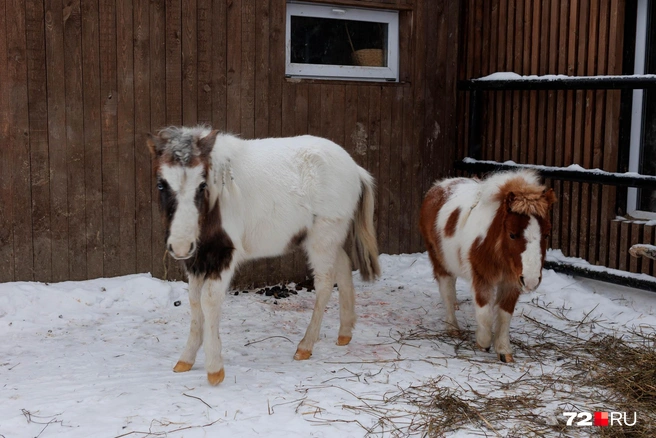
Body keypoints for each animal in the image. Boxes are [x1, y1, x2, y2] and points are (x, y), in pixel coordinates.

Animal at [145, 126, 380, 384]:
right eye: (161, 184)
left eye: (202, 184)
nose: (180, 246)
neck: (216, 202)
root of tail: (355, 169)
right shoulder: (198, 259)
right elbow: (195, 303)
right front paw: (186, 360)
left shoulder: (224, 255)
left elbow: (209, 301)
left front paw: (215, 369)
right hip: (327, 239)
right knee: (344, 266)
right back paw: (345, 333)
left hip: (322, 239)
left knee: (325, 284)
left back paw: (305, 346)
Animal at [422, 169, 556, 362]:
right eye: (512, 234)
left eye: (546, 234)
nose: (531, 280)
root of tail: (439, 186)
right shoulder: (481, 277)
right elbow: (485, 314)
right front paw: (483, 342)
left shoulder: (511, 282)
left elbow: (504, 315)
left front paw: (503, 350)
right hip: (440, 262)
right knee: (447, 292)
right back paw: (452, 327)